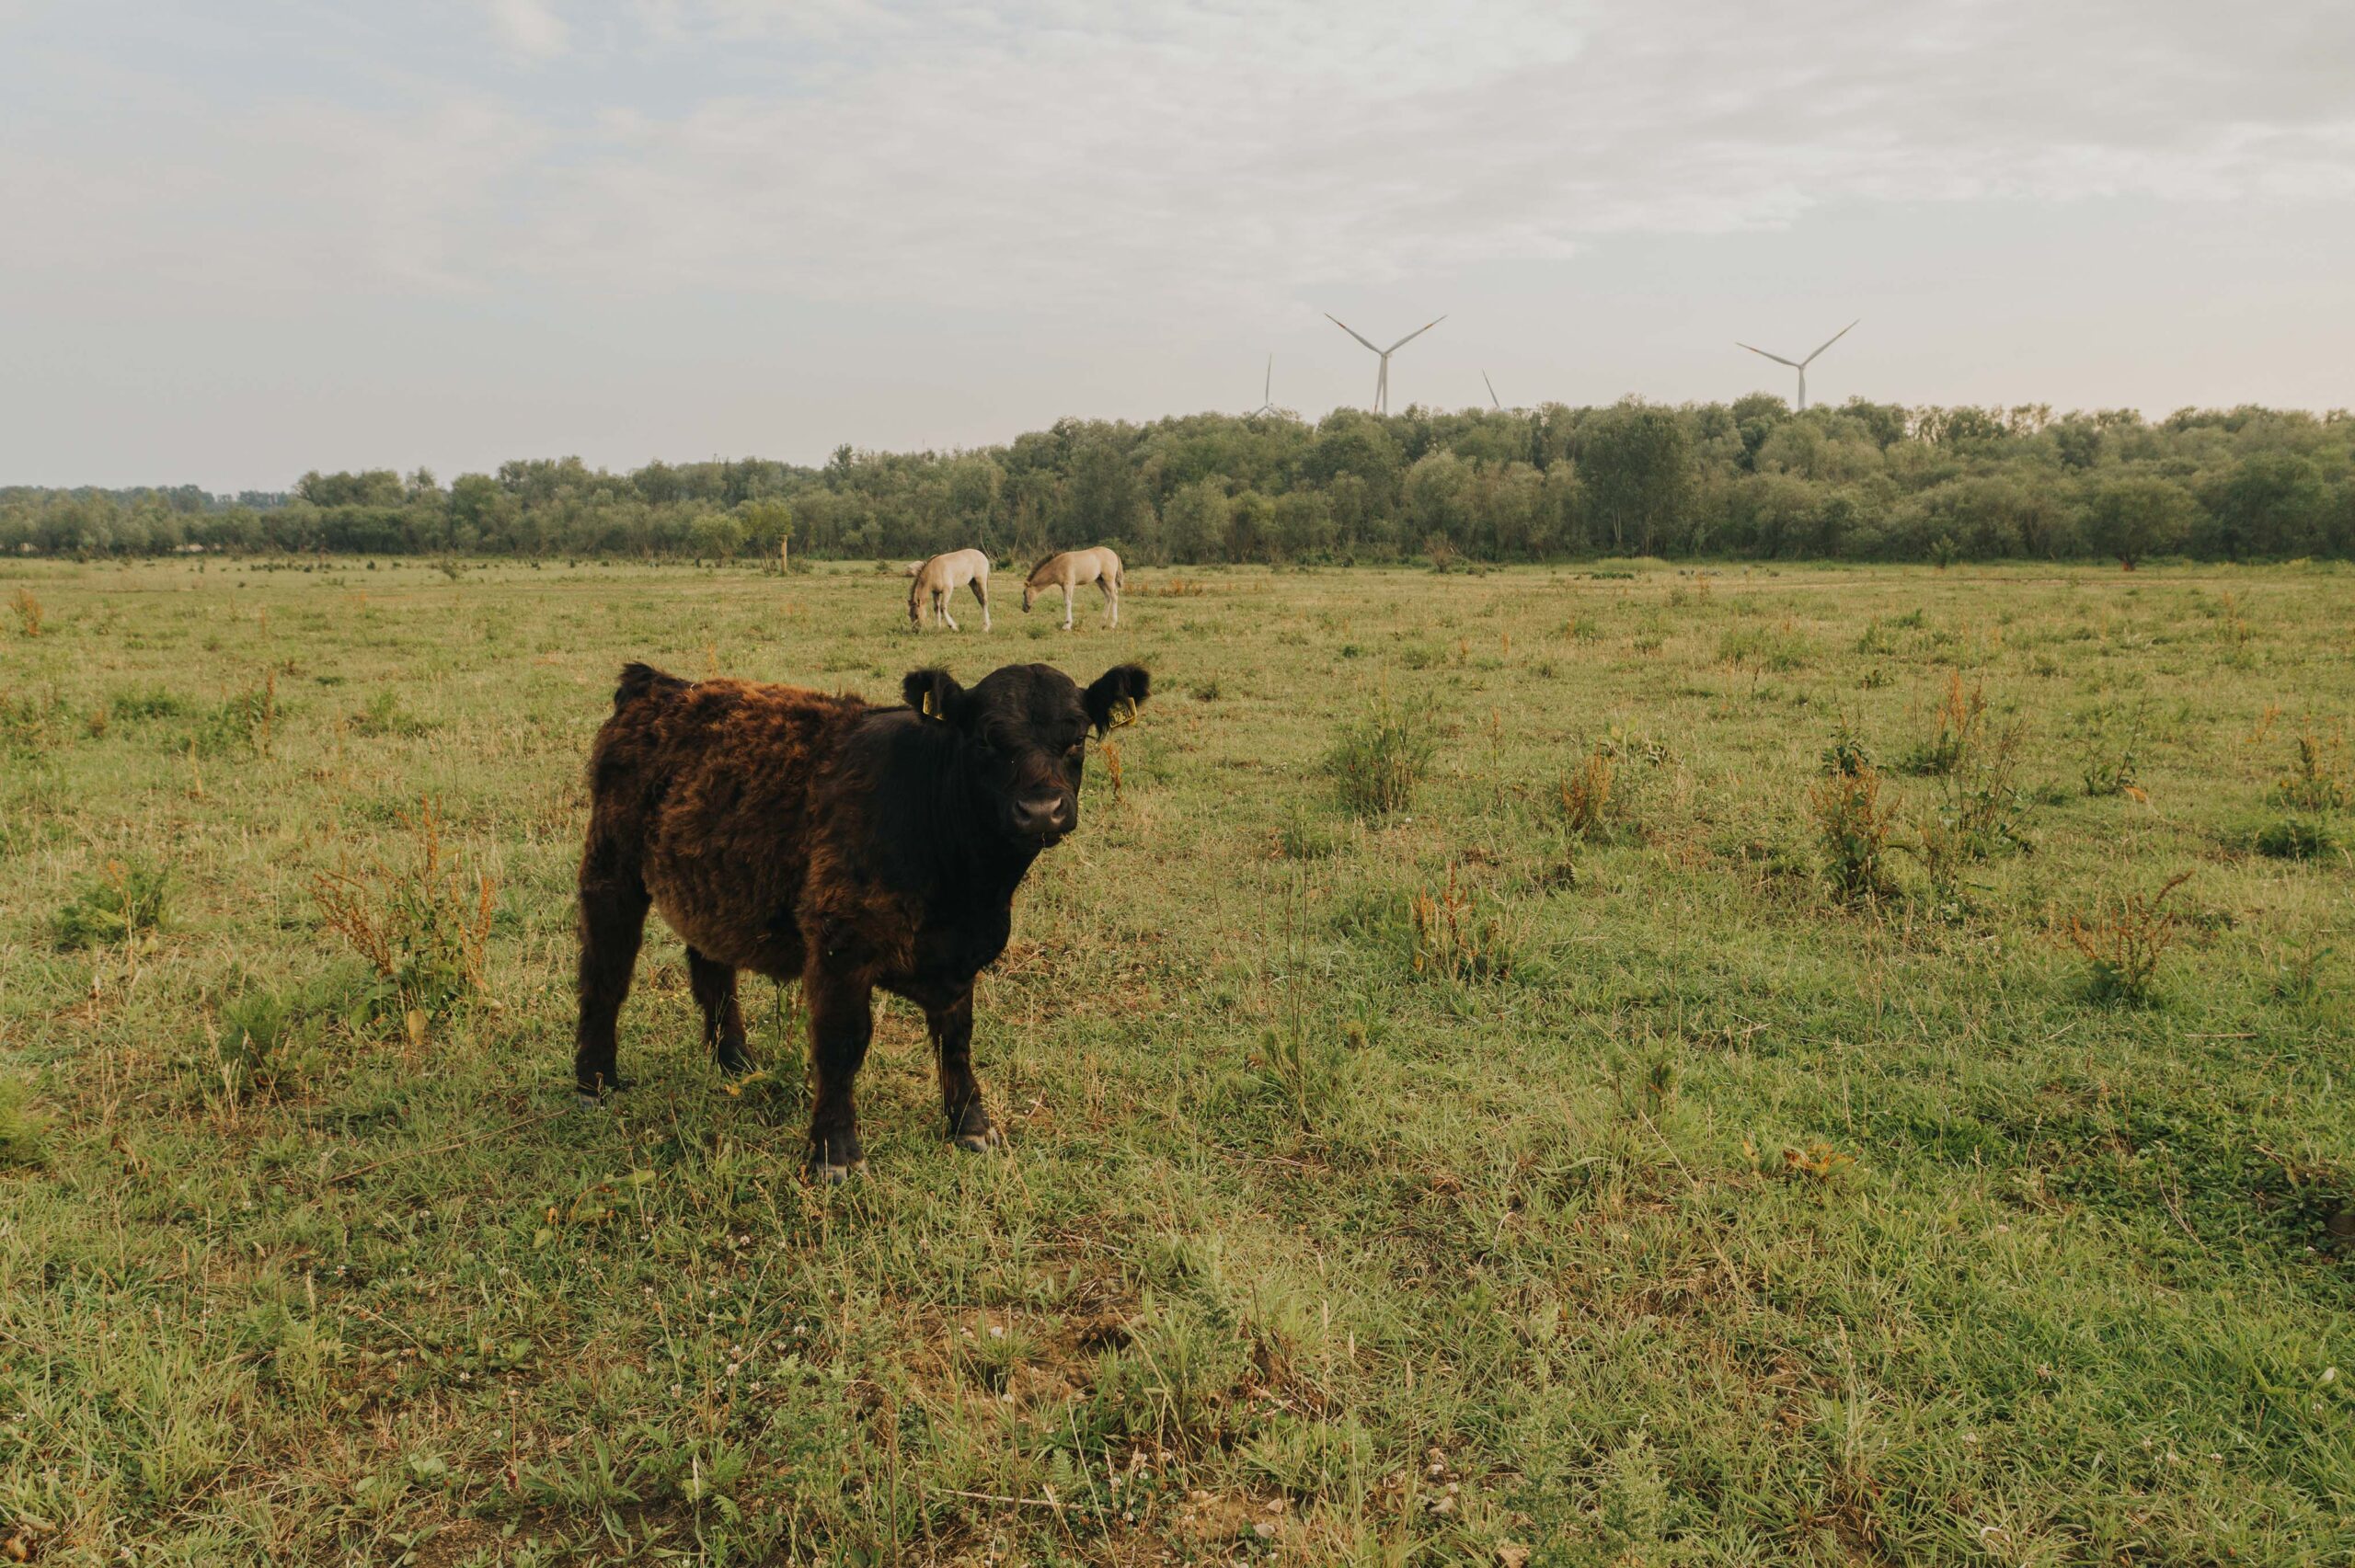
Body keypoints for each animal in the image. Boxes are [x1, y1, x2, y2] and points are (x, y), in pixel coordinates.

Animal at [579, 654, 1149, 1172]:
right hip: (611, 870)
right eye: (986, 740)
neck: (967, 888)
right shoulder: (838, 947)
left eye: (1076, 739)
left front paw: (970, 1123)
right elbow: (842, 1044)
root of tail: (658, 683)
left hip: (714, 884)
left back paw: (735, 1061)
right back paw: (595, 1079)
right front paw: (835, 1151)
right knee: (605, 973)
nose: (1041, 810)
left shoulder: (962, 957)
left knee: (711, 969)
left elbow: (957, 1039)